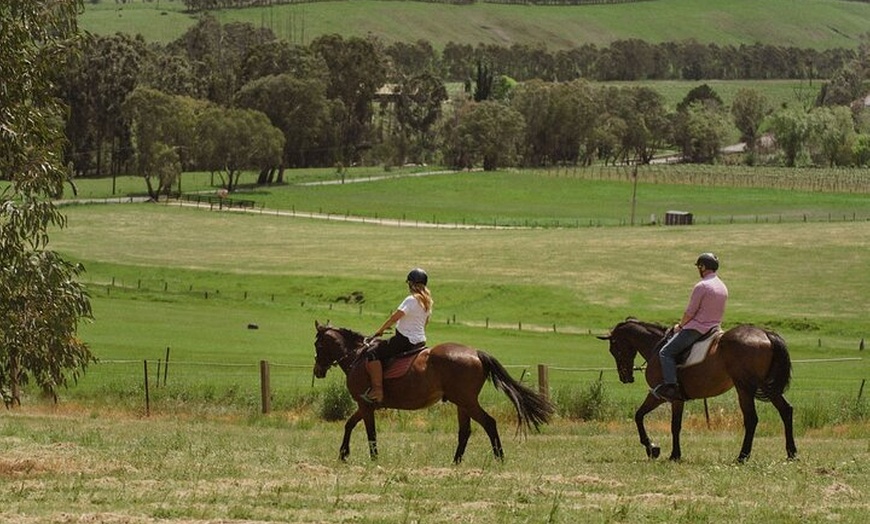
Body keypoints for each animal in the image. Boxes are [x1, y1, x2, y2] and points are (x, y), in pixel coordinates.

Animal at [313, 321, 554, 463]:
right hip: (462, 404)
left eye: (318, 346)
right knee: (465, 431)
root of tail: (476, 353)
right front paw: (343, 454)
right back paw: (456, 462)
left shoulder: (365, 405)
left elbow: (369, 432)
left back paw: (499, 458)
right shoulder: (364, 406)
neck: (357, 356)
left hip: (467, 401)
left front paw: (373, 459)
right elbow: (349, 424)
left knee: (489, 423)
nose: (317, 371)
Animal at [597, 318, 797, 463]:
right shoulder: (670, 398)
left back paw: (742, 456)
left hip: (744, 389)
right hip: (768, 387)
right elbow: (662, 422)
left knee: (752, 419)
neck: (658, 347)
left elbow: (652, 419)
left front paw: (656, 449)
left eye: (614, 349)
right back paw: (791, 453)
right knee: (786, 411)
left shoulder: (662, 396)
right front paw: (666, 452)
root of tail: (765, 334)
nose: (625, 378)